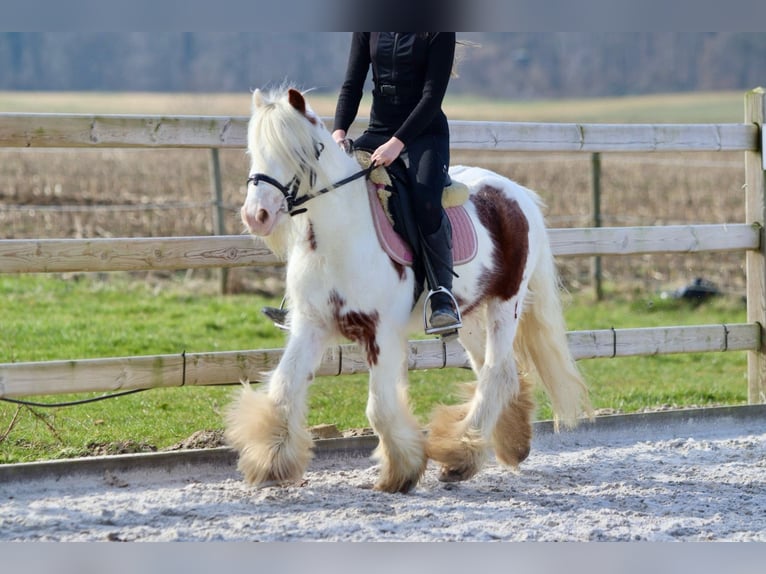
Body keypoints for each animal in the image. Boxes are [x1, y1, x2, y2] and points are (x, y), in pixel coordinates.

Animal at [228, 86, 592, 496]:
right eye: (254, 150)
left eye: (302, 151)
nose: (256, 216)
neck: (340, 235)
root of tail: (517, 193)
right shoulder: (312, 325)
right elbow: (283, 389)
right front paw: (271, 462)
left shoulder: (381, 332)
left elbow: (380, 407)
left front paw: (401, 472)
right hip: (468, 317)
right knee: (497, 371)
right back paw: (508, 444)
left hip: (505, 304)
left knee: (497, 371)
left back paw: (460, 456)